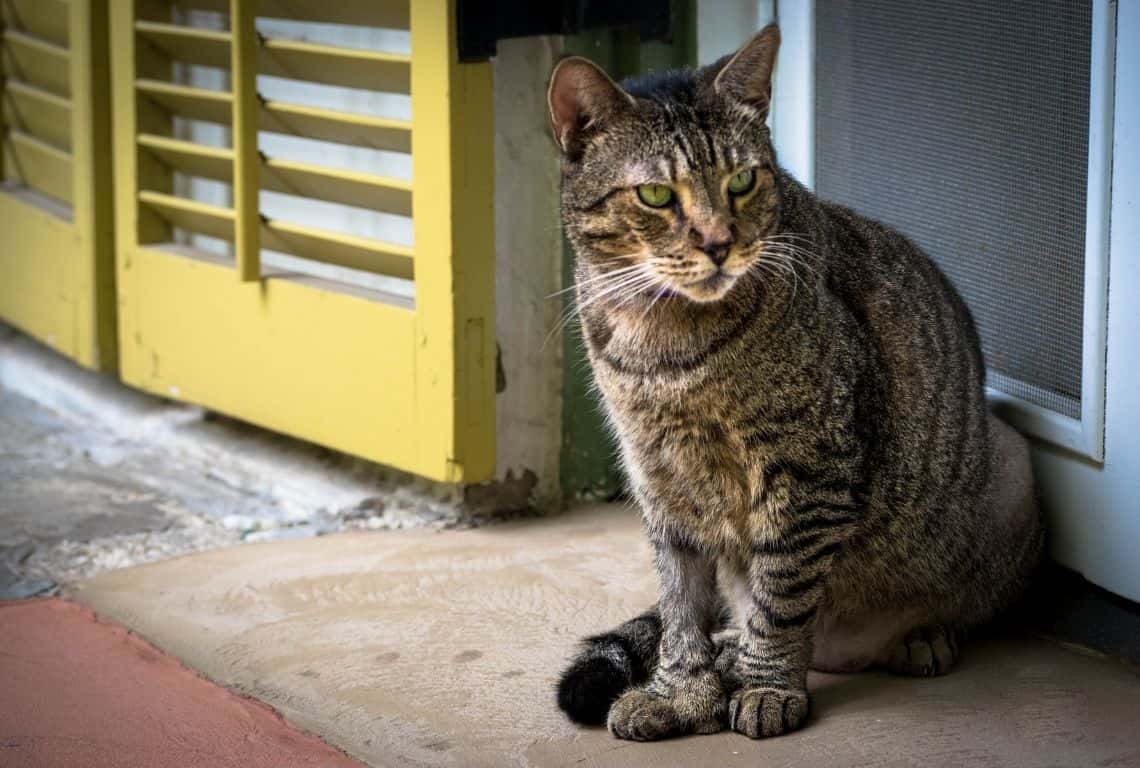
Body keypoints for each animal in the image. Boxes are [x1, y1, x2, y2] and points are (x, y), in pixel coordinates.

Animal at [544, 25, 1044, 742]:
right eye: (657, 196)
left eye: (743, 181)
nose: (718, 242)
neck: (663, 345)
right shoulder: (658, 478)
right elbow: (680, 606)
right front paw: (681, 693)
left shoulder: (808, 470)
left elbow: (779, 596)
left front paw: (765, 686)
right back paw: (728, 656)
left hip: (1012, 460)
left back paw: (919, 636)